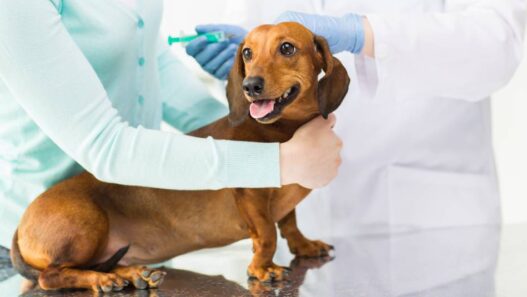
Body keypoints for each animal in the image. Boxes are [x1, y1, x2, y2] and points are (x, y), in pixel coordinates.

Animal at [9, 23, 350, 292]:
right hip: (87, 223)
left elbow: (289, 222)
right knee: (51, 276)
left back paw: (132, 274)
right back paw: (103, 280)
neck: (281, 128)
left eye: (287, 47)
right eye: (247, 53)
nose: (250, 86)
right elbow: (267, 234)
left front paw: (304, 245)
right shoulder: (251, 196)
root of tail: (21, 224)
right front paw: (262, 268)